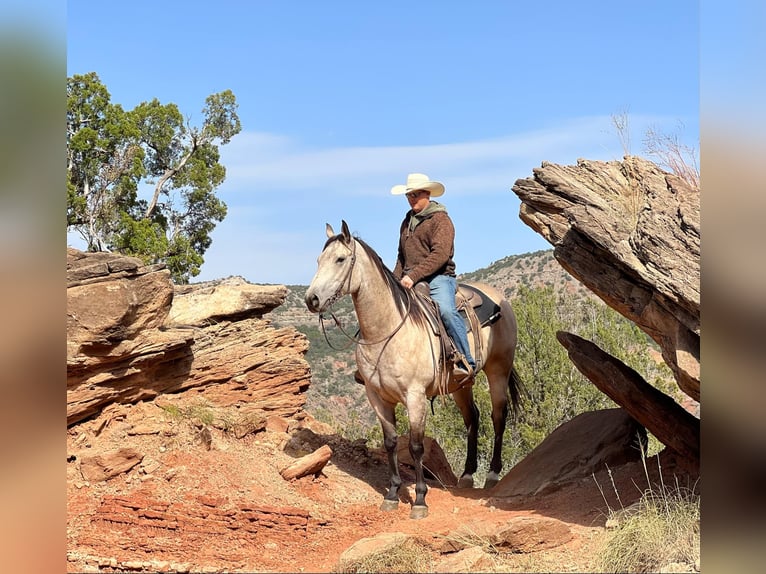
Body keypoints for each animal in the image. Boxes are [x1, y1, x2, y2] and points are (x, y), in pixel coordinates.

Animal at [305, 221, 523, 519]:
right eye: (318, 260)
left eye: (340, 259)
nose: (311, 299)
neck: (387, 331)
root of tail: (499, 296)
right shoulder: (376, 397)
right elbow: (391, 443)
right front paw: (392, 494)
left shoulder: (415, 396)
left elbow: (416, 446)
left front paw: (419, 500)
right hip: (461, 384)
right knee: (473, 418)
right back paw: (467, 475)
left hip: (498, 371)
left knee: (498, 416)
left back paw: (492, 474)